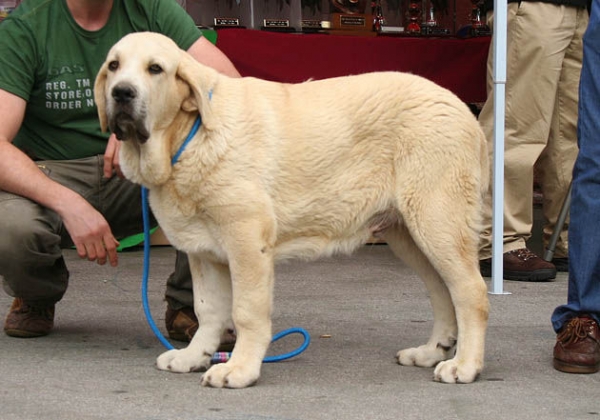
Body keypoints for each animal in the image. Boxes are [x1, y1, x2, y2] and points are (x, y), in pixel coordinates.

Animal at [92, 31, 488, 388]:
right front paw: (194, 356)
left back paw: (464, 365)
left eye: (155, 69)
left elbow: (246, 312)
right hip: (408, 234)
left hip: (437, 222)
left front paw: (240, 369)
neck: (188, 138)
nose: (122, 93)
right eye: (113, 66)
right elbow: (208, 310)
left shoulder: (247, 242)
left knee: (470, 292)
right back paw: (432, 352)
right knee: (442, 292)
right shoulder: (203, 251)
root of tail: (461, 108)